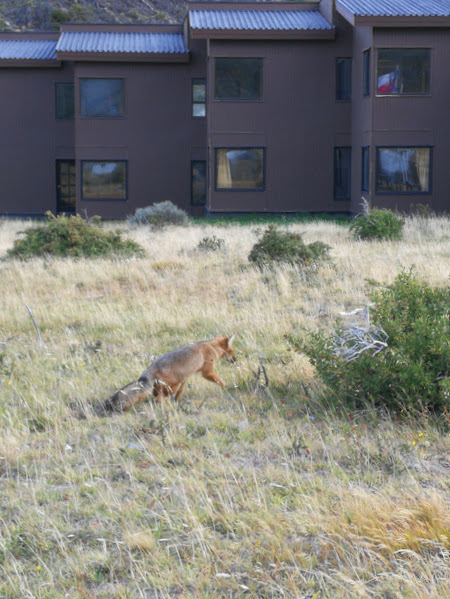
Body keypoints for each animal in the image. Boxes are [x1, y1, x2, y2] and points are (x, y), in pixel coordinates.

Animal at [100, 336, 237, 414]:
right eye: (231, 351)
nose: (236, 360)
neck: (211, 346)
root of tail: (148, 371)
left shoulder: (184, 379)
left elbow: (180, 392)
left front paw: (178, 401)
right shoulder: (207, 372)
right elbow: (220, 380)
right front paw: (227, 388)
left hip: (167, 387)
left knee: (158, 397)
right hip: (170, 387)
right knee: (158, 399)